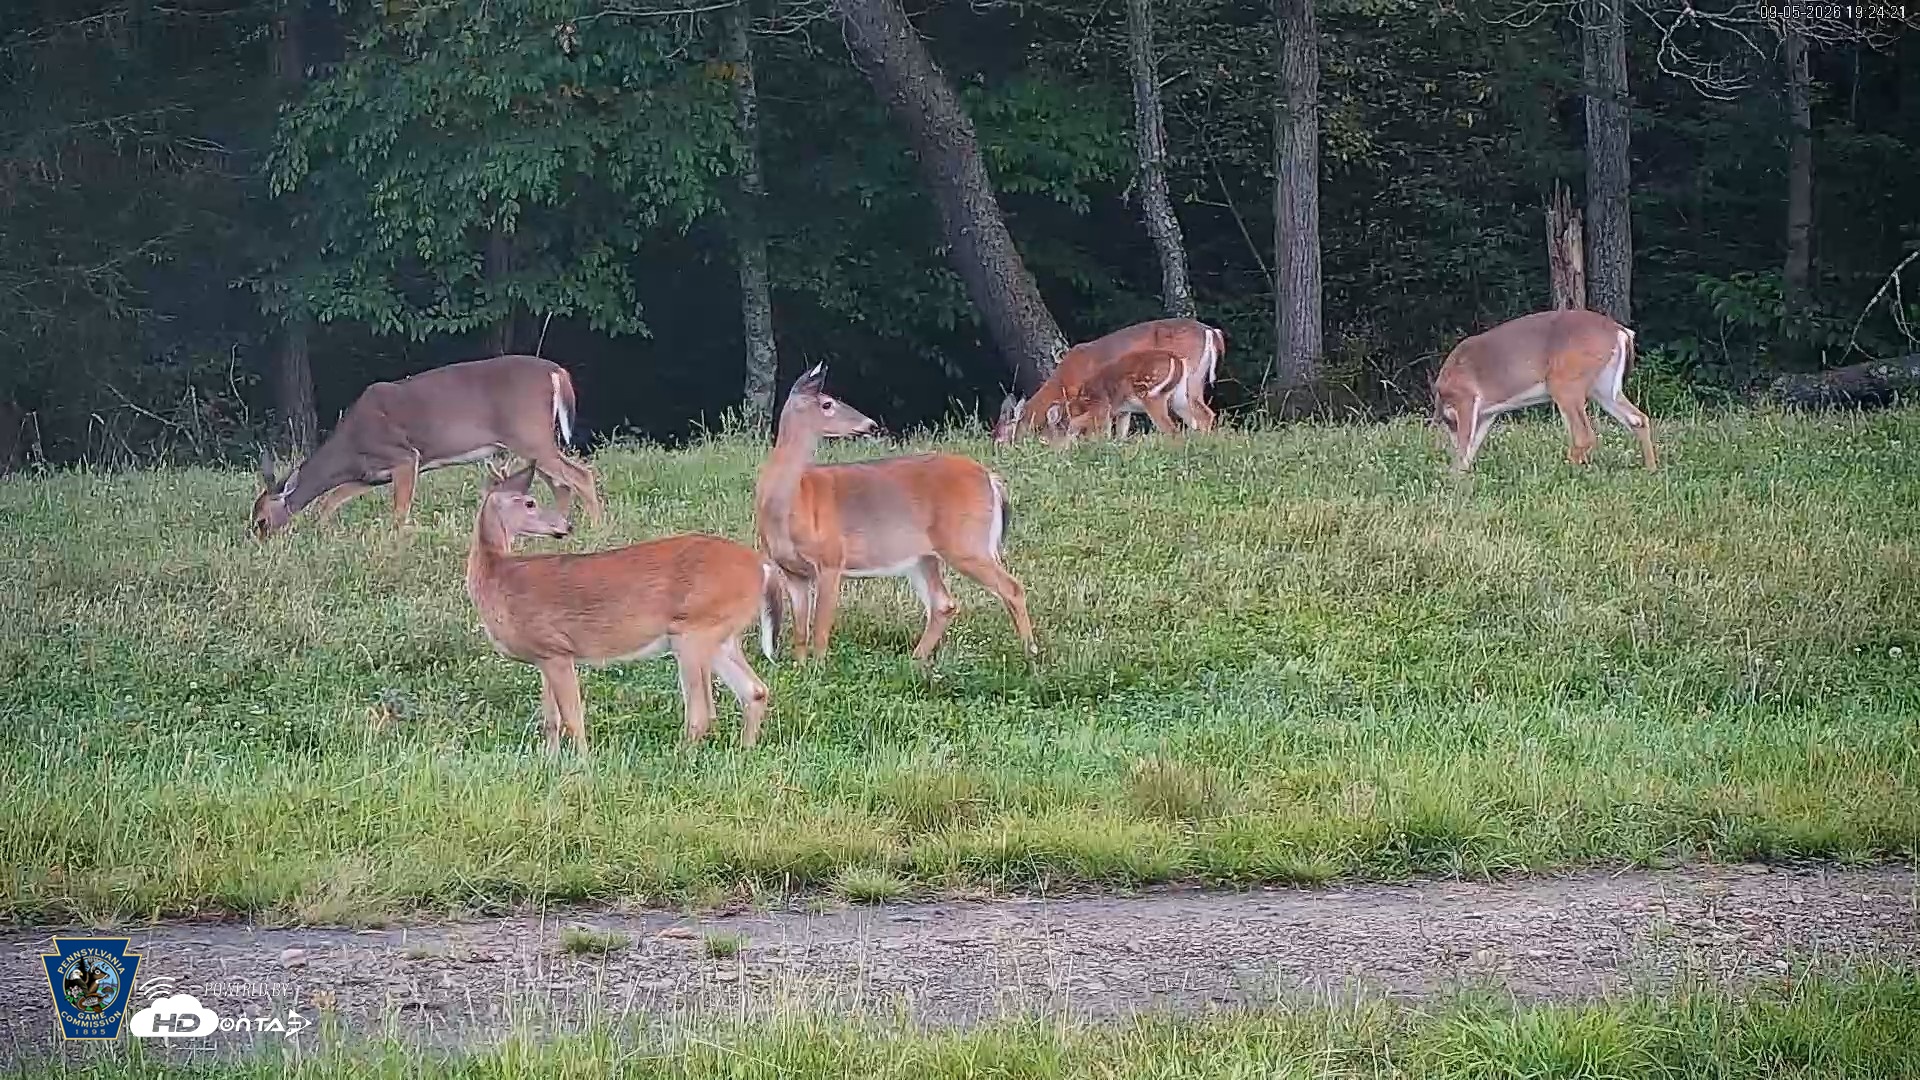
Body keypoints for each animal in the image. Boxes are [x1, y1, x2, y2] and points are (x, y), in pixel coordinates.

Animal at [251, 354, 603, 537]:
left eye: (261, 519)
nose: (256, 539)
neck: (351, 446)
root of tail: (557, 371)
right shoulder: (369, 475)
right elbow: (329, 501)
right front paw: (325, 532)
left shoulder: (406, 456)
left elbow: (399, 513)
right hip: (534, 440)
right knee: (561, 483)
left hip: (529, 434)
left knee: (580, 476)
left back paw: (596, 527)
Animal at [465, 462, 784, 755]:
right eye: (530, 502)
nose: (566, 526)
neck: (497, 576)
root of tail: (763, 566)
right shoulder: (543, 656)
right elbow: (550, 721)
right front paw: (551, 761)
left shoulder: (555, 648)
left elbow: (573, 719)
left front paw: (582, 763)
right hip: (721, 635)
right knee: (754, 691)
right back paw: (744, 750)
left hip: (694, 629)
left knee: (702, 712)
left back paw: (681, 758)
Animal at [755, 363, 1038, 667]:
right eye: (827, 403)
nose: (870, 424)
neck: (790, 504)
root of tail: (992, 479)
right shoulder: (792, 571)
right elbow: (800, 632)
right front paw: (800, 667)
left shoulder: (831, 558)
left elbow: (820, 628)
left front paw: (819, 669)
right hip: (923, 556)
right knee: (944, 604)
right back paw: (914, 661)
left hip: (966, 542)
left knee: (1011, 588)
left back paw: (1031, 654)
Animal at [994, 318, 1223, 444]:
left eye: (1002, 436)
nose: (998, 449)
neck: (1064, 381)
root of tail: (1212, 332)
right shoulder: (1121, 406)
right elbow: (1120, 432)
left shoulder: (1095, 401)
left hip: (1189, 378)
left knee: (1202, 415)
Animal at [1431, 308, 1658, 474]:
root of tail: (1621, 331)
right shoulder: (1488, 412)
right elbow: (1470, 449)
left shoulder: (1466, 398)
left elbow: (1463, 447)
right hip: (1603, 386)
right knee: (1638, 418)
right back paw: (1650, 469)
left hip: (1565, 382)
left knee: (1584, 435)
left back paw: (1563, 471)